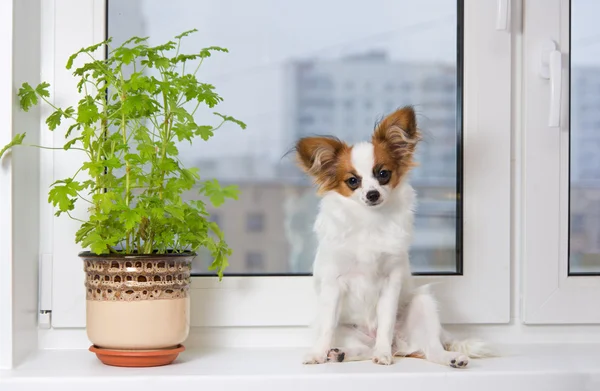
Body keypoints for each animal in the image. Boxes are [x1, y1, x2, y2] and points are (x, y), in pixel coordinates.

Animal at [292, 106, 490, 368]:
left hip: (423, 303)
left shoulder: (390, 282)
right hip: (348, 330)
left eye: (383, 174)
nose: (372, 194)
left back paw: (449, 358)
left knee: (430, 349)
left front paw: (383, 354)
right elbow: (327, 327)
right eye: (353, 181)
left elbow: (385, 324)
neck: (370, 220)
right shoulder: (334, 284)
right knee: (362, 348)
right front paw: (317, 353)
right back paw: (339, 353)